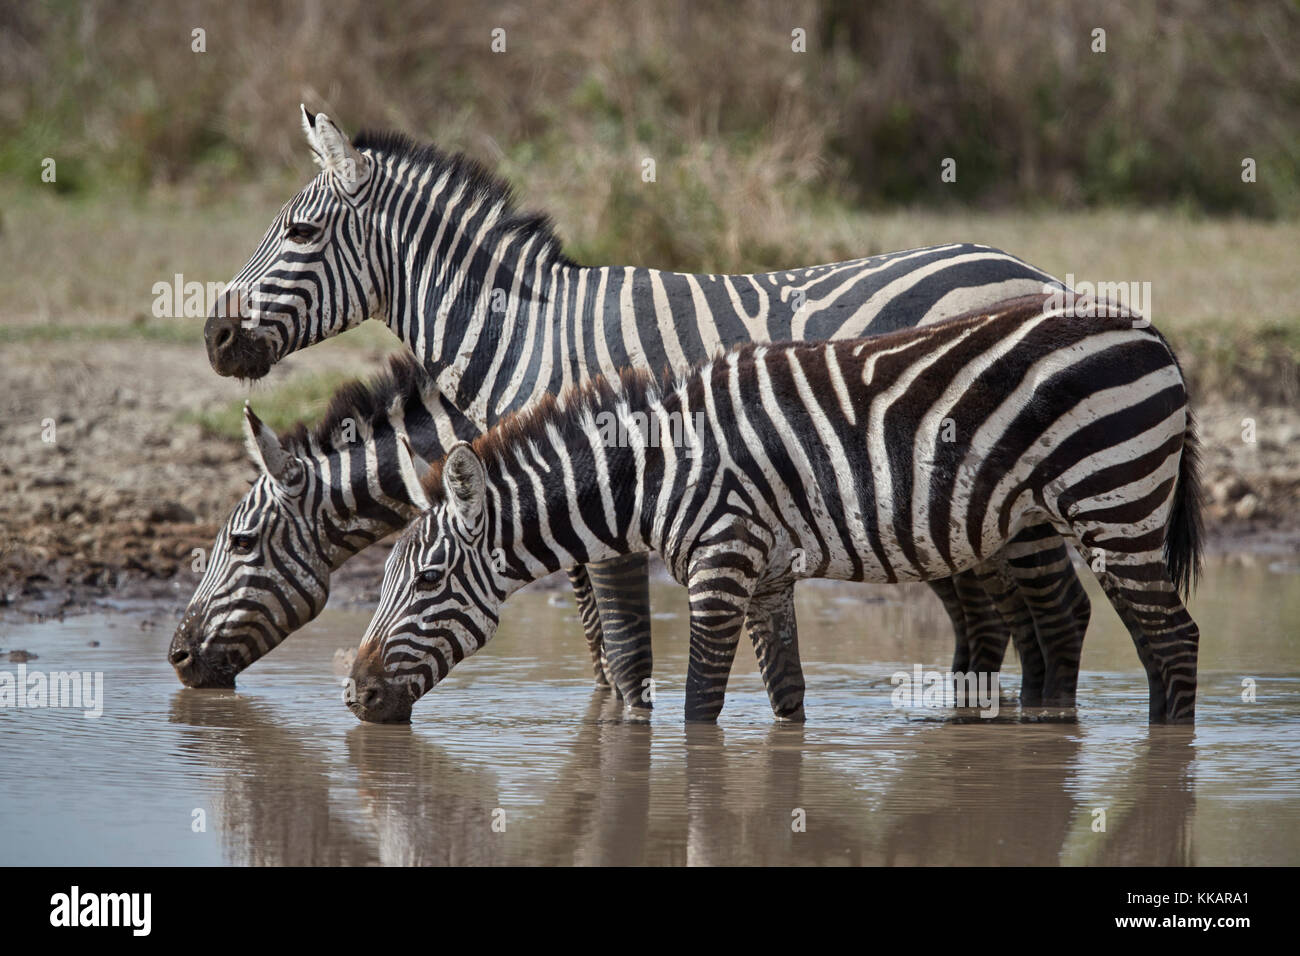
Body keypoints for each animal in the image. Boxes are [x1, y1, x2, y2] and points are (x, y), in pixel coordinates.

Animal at [201, 108, 1091, 711]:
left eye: (300, 231)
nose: (214, 335)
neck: (522, 336)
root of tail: (1033, 271)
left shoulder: (605, 497)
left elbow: (625, 651)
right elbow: (601, 646)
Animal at [345, 295, 1203, 726]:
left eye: (427, 583)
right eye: (381, 582)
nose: (354, 697)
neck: (658, 468)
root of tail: (1150, 329)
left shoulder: (721, 564)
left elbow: (699, 706)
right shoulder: (767, 576)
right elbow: (787, 697)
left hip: (1115, 506)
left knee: (1172, 640)